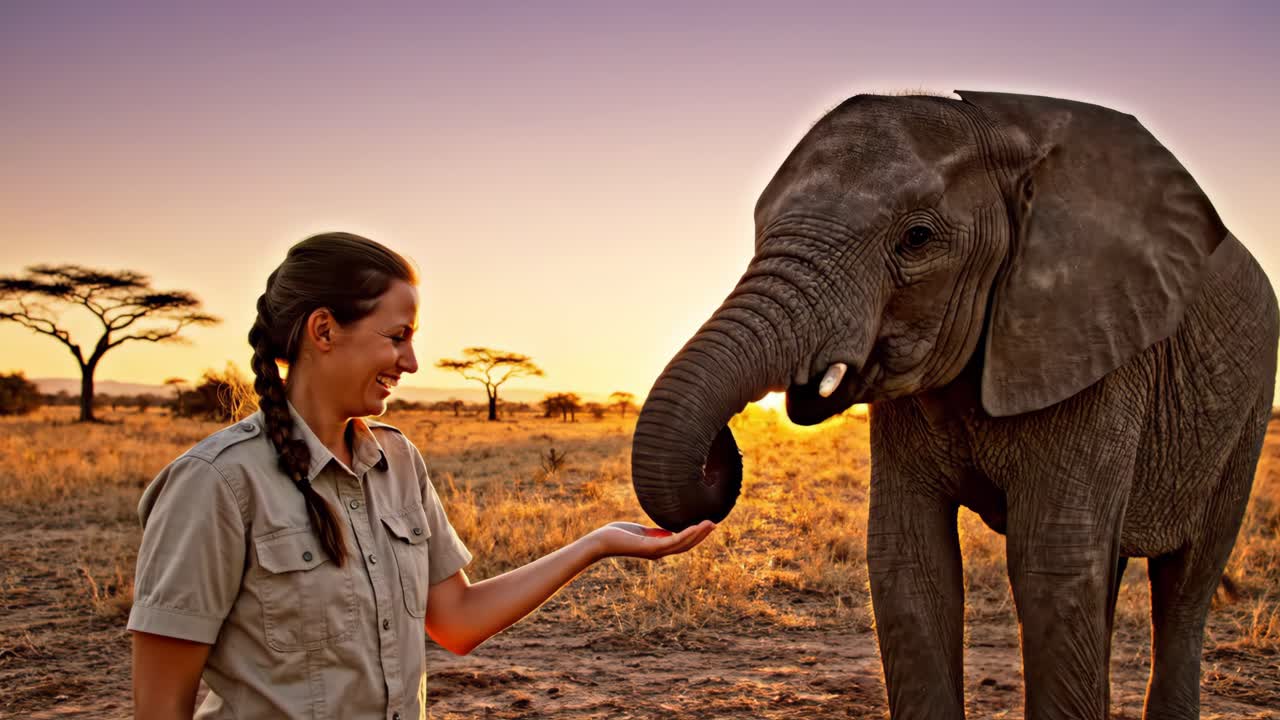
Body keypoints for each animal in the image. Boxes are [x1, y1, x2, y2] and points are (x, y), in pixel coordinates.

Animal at [630, 90, 1278, 720]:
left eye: (916, 238)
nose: (724, 452)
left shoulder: (1097, 347)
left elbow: (1051, 564)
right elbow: (908, 559)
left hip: (1247, 411)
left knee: (1186, 581)